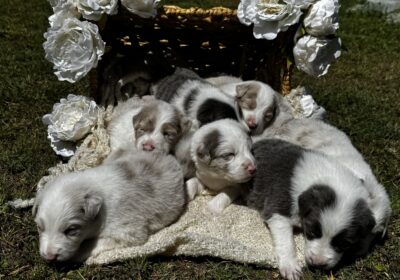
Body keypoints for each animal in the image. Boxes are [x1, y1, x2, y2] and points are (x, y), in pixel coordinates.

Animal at [32, 151, 186, 262]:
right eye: (39, 227)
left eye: (71, 230)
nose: (49, 257)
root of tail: (170, 158)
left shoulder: (128, 231)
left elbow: (93, 243)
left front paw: (78, 254)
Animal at [247, 140, 384, 280]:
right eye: (311, 232)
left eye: (343, 243)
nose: (318, 264)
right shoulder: (278, 210)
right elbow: (286, 241)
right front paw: (290, 265)